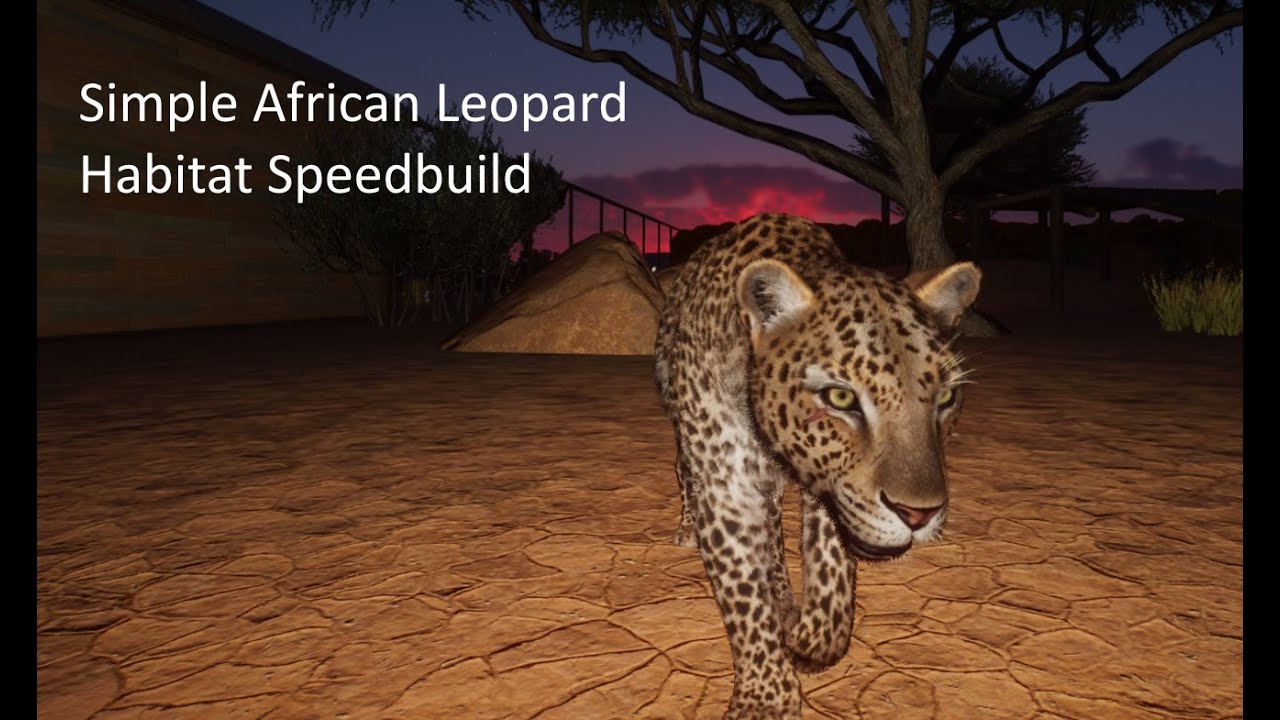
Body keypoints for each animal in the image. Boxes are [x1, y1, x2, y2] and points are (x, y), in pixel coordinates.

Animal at [653, 213, 981, 719]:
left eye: (945, 397)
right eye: (840, 397)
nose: (918, 514)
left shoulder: (827, 485)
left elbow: (831, 568)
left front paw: (814, 640)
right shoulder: (727, 489)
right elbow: (742, 592)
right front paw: (765, 696)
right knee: (682, 466)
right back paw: (690, 526)